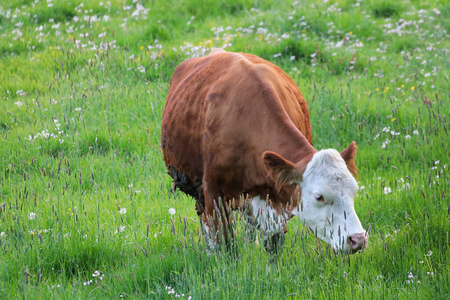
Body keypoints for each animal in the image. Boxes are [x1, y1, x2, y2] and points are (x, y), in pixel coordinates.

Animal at [160, 48, 368, 255]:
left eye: (354, 191)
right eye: (319, 196)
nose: (358, 239)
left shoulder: (278, 199)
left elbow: (273, 246)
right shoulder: (213, 194)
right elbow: (226, 246)